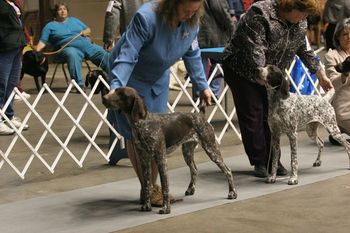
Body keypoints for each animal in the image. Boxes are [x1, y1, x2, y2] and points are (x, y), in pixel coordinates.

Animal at [102, 87, 237, 215]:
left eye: (122, 94)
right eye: (115, 91)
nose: (104, 98)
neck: (142, 123)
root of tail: (200, 115)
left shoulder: (161, 159)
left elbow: (165, 186)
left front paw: (166, 209)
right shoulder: (144, 160)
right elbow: (146, 185)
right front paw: (147, 206)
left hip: (211, 149)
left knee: (228, 171)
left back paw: (232, 193)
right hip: (187, 152)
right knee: (194, 169)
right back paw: (191, 189)